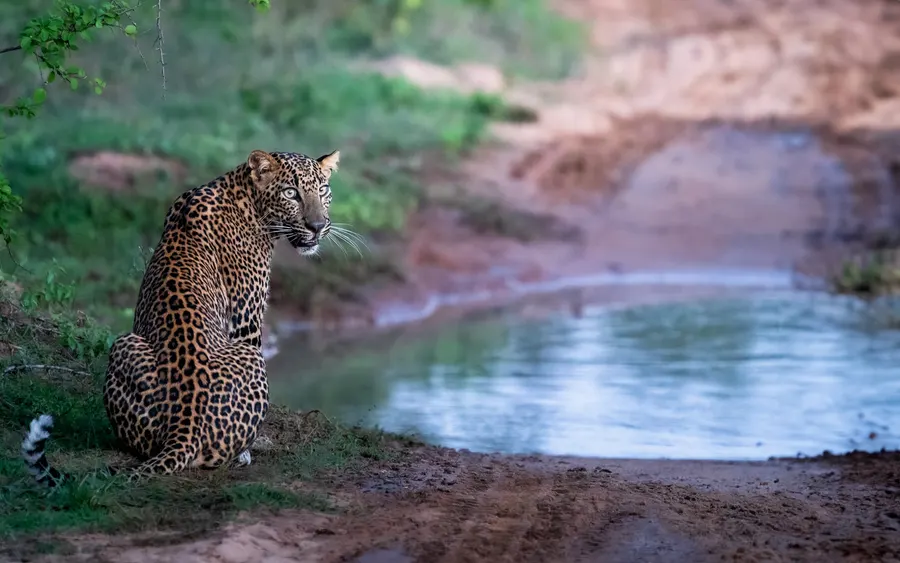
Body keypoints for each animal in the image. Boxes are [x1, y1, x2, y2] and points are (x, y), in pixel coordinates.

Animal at [21, 149, 340, 486]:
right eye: (291, 193)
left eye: (323, 190)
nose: (318, 226)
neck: (243, 193)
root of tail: (186, 425)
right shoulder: (245, 318)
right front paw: (256, 445)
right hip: (251, 356)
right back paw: (245, 452)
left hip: (124, 345)